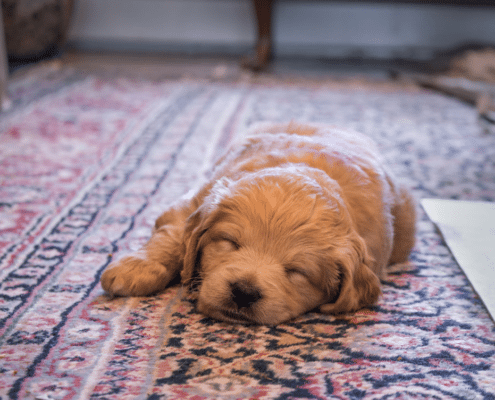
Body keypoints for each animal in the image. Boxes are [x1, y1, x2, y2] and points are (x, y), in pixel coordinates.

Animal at [101, 122, 418, 324]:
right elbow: (174, 236)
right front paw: (136, 268)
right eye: (230, 243)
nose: (244, 291)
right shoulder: (195, 200)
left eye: (297, 271)